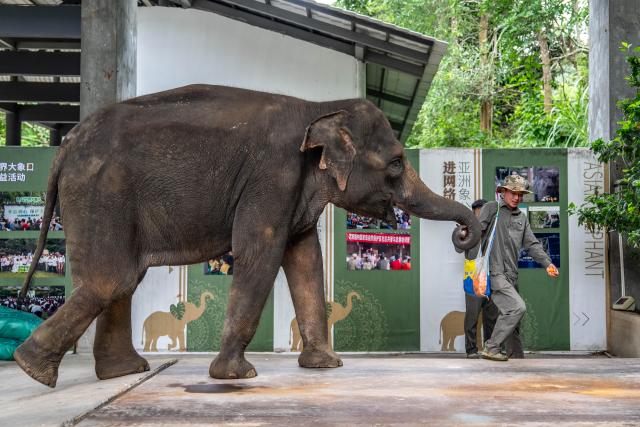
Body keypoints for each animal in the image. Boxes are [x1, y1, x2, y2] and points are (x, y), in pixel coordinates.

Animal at [14, 84, 481, 387]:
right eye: (397, 163)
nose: (465, 231)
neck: (320, 108)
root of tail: (66, 145)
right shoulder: (272, 177)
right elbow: (261, 252)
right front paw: (236, 376)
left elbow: (306, 259)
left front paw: (326, 366)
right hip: (101, 195)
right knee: (113, 278)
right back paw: (32, 368)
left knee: (122, 279)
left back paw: (121, 372)